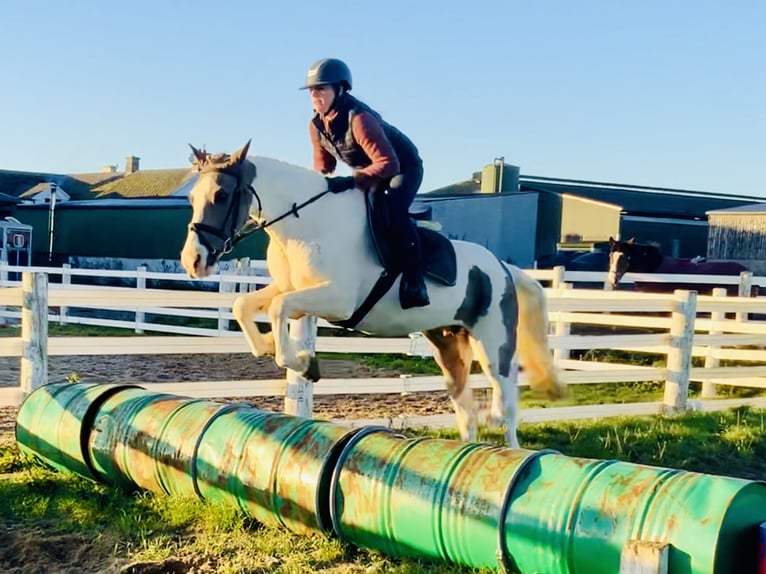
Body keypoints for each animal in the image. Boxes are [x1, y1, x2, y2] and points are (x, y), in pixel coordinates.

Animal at [180, 142, 564, 448]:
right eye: (191, 198)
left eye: (221, 196)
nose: (193, 261)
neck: (305, 223)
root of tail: (503, 267)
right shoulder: (294, 289)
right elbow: (245, 305)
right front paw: (275, 348)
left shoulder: (336, 300)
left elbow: (277, 308)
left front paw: (302, 362)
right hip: (448, 343)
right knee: (464, 407)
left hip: (493, 343)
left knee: (507, 403)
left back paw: (509, 448)